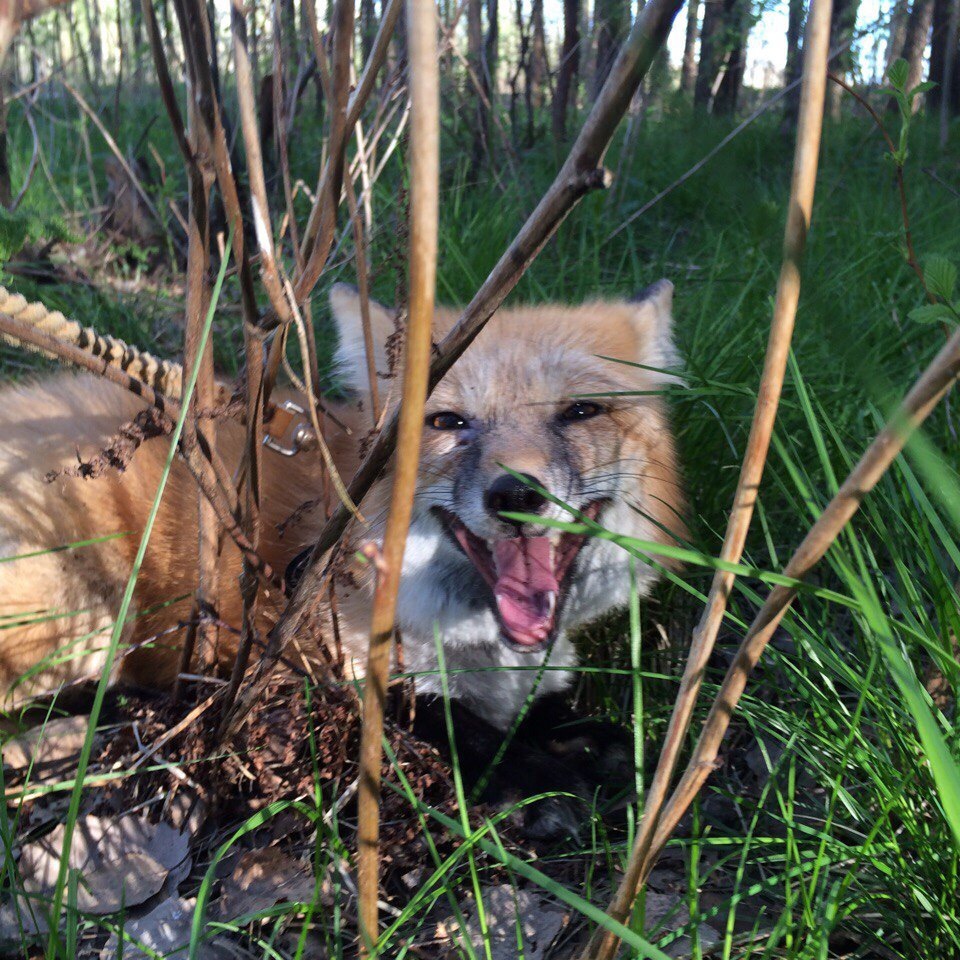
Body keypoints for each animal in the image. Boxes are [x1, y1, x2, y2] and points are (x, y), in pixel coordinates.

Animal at [1, 282, 688, 836]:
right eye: (447, 422)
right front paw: (540, 783)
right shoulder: (296, 667)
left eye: (580, 412)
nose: (517, 495)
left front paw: (597, 750)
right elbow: (442, 720)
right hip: (82, 611)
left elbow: (563, 718)